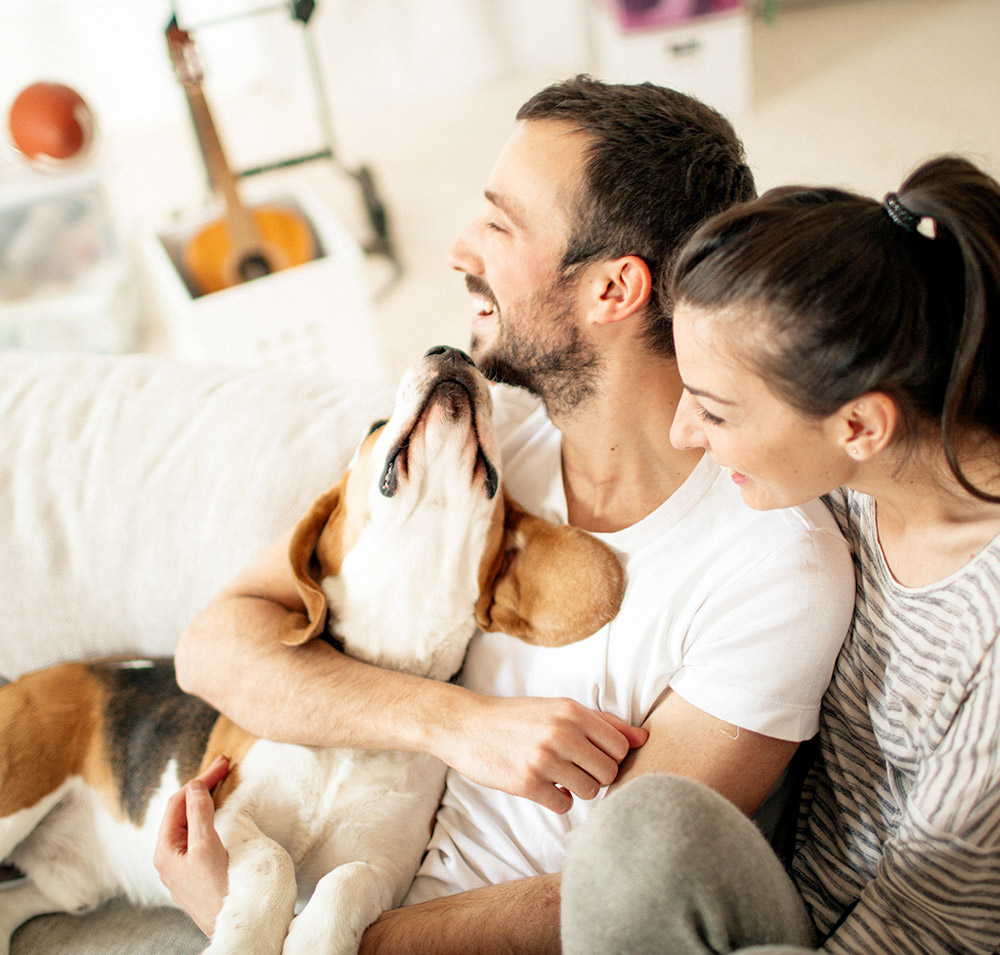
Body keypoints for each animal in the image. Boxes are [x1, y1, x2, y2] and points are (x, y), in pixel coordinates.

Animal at [0, 350, 624, 955]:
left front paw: (316, 939)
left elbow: (347, 879)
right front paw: (246, 940)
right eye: (373, 426)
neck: (377, 684)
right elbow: (273, 861)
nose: (450, 352)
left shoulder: (388, 870)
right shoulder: (224, 812)